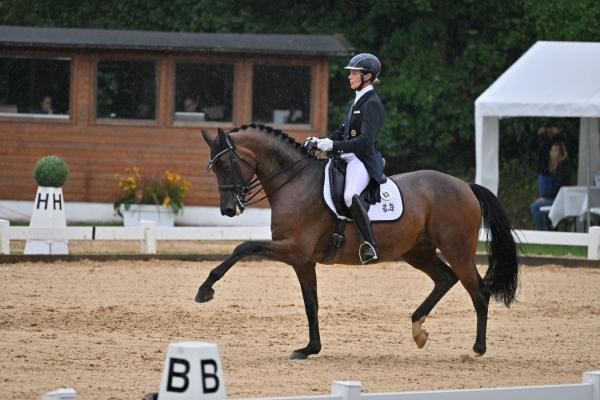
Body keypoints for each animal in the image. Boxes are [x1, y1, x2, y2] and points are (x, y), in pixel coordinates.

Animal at [198, 123, 520, 360]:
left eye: (226, 164)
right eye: (213, 167)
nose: (228, 210)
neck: (294, 182)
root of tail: (465, 186)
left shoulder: (295, 249)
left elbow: (244, 246)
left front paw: (205, 290)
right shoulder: (303, 261)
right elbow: (311, 303)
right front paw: (310, 349)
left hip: (457, 250)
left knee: (478, 291)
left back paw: (476, 349)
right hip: (418, 252)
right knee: (445, 279)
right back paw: (418, 329)